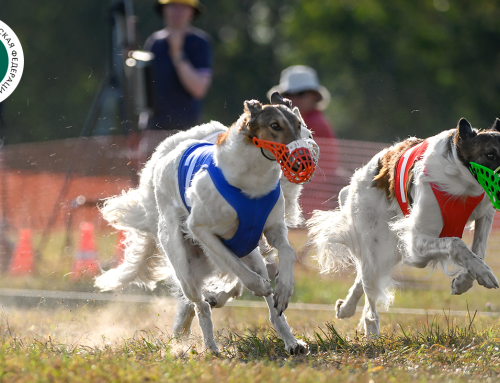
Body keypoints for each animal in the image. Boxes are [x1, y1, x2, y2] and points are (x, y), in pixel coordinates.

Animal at [94, 94, 314, 356]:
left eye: (299, 125)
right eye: (275, 126)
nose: (303, 161)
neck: (251, 185)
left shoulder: (271, 229)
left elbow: (287, 253)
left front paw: (284, 288)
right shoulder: (201, 230)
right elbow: (236, 268)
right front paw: (258, 287)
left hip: (248, 254)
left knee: (269, 310)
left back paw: (291, 341)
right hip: (182, 263)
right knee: (200, 304)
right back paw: (210, 346)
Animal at [306, 118, 500, 338]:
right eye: (490, 154)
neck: (460, 182)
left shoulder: (485, 213)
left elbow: (478, 251)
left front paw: (464, 281)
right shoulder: (416, 245)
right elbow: (456, 244)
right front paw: (480, 273)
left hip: (390, 247)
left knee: (363, 280)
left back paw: (346, 308)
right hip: (377, 243)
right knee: (370, 302)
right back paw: (372, 335)